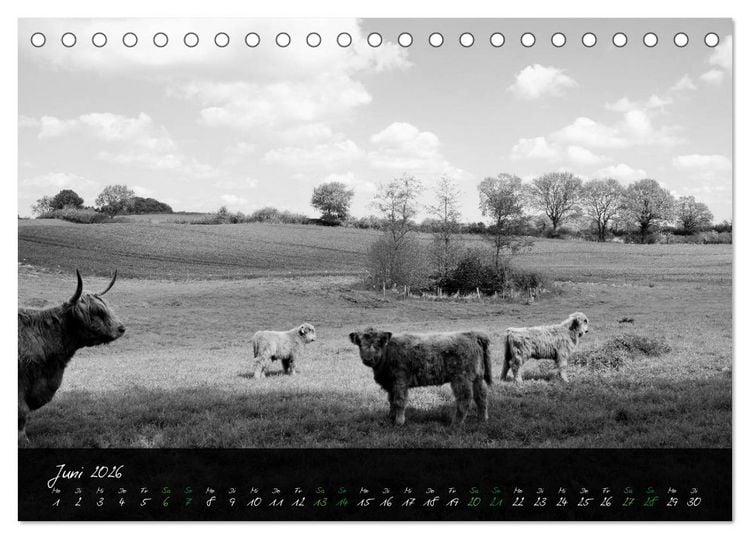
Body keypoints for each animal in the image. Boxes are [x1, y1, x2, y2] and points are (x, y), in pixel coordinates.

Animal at [348, 328, 492, 426]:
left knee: (465, 399)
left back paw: (456, 423)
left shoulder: (400, 380)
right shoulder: (391, 384)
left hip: (461, 378)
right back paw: (482, 419)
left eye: (378, 343)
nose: (368, 359)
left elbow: (399, 401)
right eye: (360, 343)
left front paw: (399, 422)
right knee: (481, 396)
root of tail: (471, 334)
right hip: (477, 377)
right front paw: (390, 418)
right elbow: (391, 401)